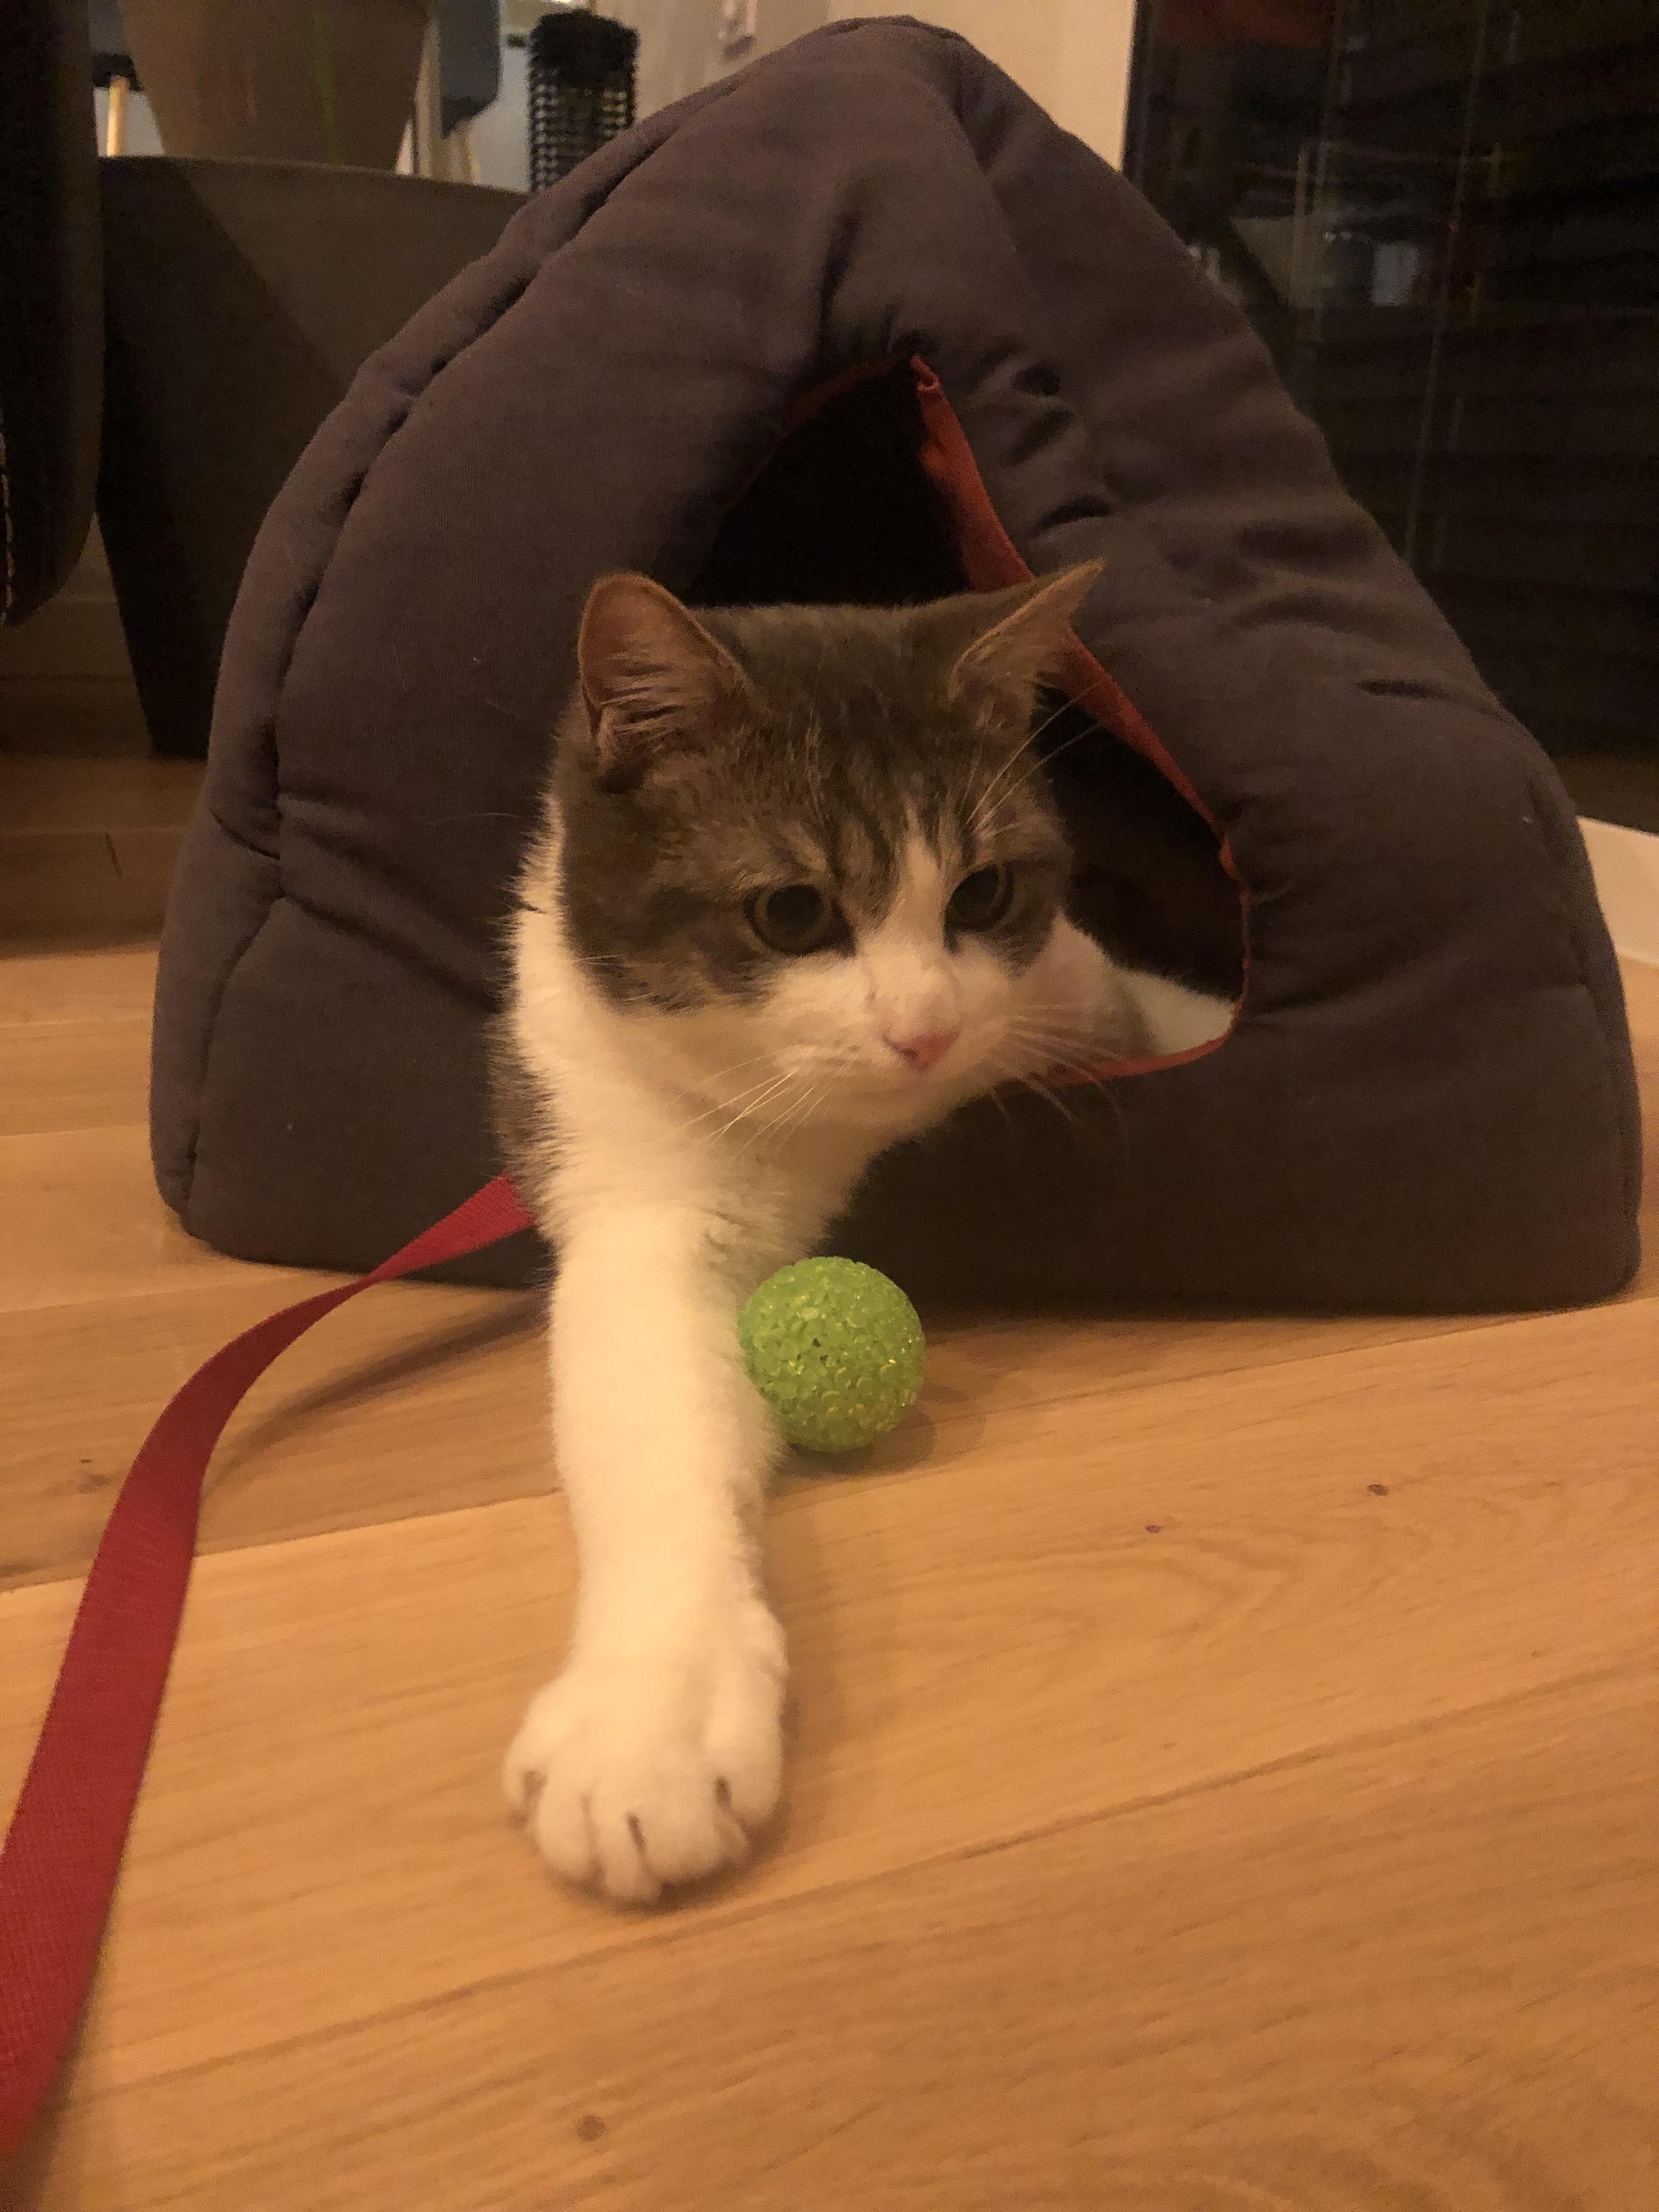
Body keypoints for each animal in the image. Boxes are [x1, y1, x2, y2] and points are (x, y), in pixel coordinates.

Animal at [492, 563, 1231, 1905]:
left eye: (983, 893)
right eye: (793, 912)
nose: (924, 1031)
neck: (824, 1132)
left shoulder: (1082, 995)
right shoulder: (619, 1162)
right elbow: (654, 1418)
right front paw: (647, 1728)